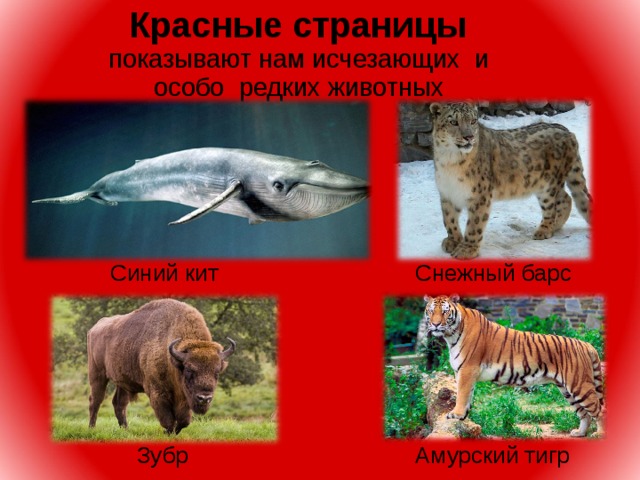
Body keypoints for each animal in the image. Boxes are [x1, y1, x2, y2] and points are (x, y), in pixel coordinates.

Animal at [419, 294, 604, 437]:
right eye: (431, 311)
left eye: (444, 311)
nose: (435, 324)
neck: (451, 335)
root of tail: (586, 344)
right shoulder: (462, 372)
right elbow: (466, 396)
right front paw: (463, 416)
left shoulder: (467, 370)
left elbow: (462, 395)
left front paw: (456, 414)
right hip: (567, 389)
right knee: (584, 414)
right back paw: (579, 433)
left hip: (579, 385)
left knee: (600, 410)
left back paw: (599, 434)